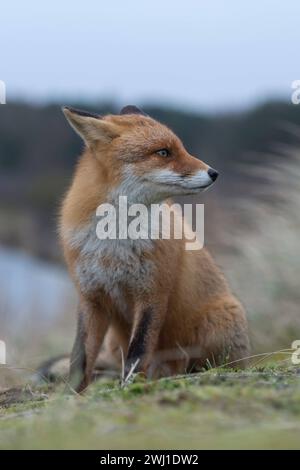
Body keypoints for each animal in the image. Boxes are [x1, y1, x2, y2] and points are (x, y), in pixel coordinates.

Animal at [59, 105, 250, 392]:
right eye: (163, 152)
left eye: (180, 148)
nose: (214, 173)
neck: (115, 241)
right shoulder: (91, 297)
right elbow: (79, 359)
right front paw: (69, 396)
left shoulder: (153, 292)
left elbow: (139, 350)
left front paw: (129, 387)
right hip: (114, 341)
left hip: (218, 325)